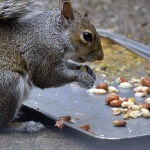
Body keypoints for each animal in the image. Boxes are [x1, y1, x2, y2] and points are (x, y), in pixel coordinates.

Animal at [0, 0, 103, 132]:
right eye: (87, 36)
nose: (101, 56)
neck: (53, 35)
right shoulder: (42, 53)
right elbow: (47, 77)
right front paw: (82, 76)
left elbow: (69, 65)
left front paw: (88, 71)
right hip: (9, 86)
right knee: (3, 126)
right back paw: (26, 126)